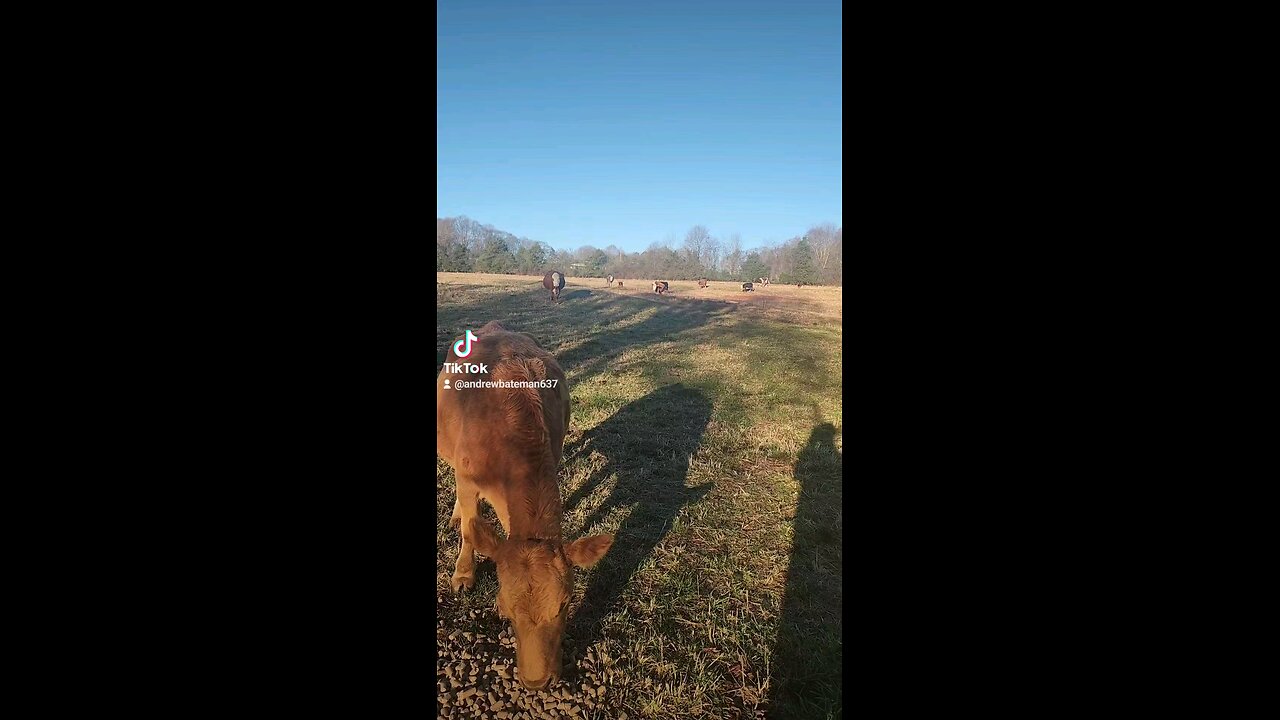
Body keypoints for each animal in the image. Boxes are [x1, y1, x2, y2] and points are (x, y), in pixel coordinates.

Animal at [437, 320, 611, 691]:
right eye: (503, 609)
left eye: (565, 604)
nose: (537, 681)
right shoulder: (466, 478)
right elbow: (470, 528)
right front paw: (463, 573)